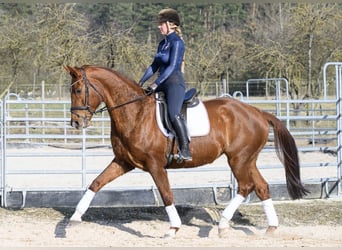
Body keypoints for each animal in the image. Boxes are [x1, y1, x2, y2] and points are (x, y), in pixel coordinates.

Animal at [64, 64, 310, 238]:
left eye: (78, 89)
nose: (76, 122)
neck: (135, 112)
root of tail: (258, 112)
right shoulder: (124, 162)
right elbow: (95, 183)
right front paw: (74, 219)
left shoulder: (155, 165)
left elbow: (166, 194)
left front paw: (173, 228)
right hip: (247, 159)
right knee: (261, 187)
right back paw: (271, 228)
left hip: (238, 159)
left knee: (246, 186)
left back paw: (222, 224)